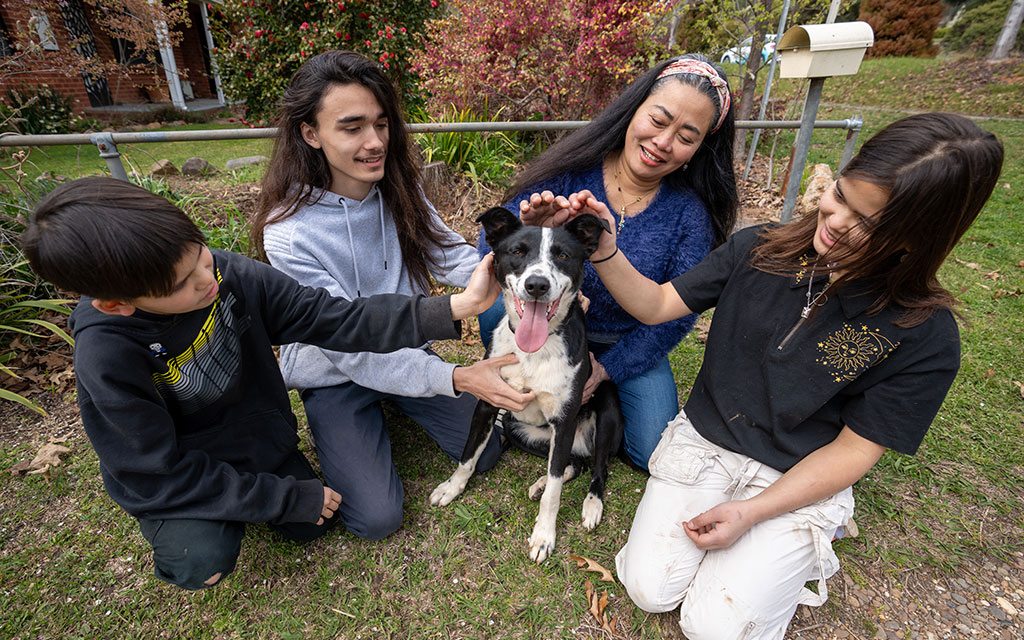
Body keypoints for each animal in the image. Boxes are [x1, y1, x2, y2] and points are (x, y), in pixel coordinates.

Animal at [430, 206, 622, 561]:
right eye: (517, 252)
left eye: (562, 255)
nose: (536, 285)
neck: (535, 349)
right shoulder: (488, 403)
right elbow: (468, 455)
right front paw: (451, 488)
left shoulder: (564, 420)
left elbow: (556, 492)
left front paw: (544, 536)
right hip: (518, 429)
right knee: (572, 464)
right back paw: (540, 483)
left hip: (606, 414)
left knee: (596, 468)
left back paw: (591, 505)